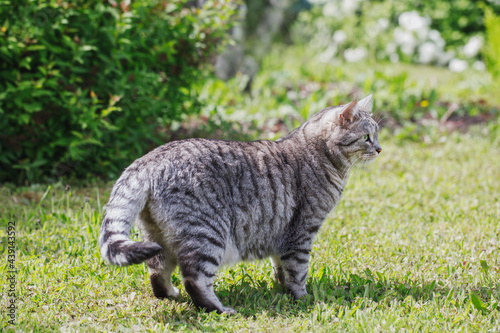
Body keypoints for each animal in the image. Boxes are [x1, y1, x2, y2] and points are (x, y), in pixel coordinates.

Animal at [97, 94, 380, 314]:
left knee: (157, 271)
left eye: (376, 135)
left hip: (158, 237)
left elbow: (281, 268)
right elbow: (298, 270)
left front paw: (281, 289)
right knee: (195, 279)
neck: (320, 154)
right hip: (208, 235)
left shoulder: (280, 234)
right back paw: (219, 309)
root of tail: (149, 159)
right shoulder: (301, 232)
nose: (379, 149)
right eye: (366, 137)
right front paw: (303, 298)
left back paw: (170, 294)